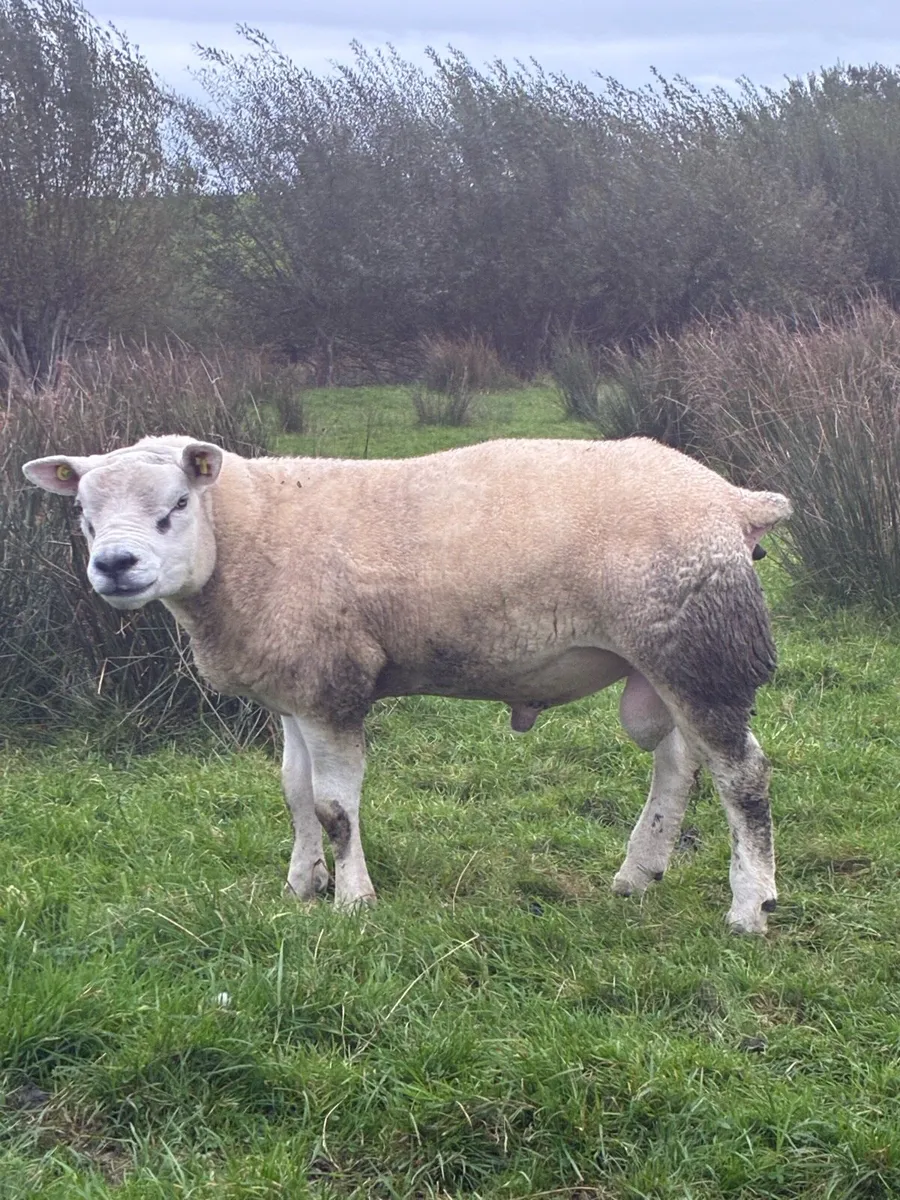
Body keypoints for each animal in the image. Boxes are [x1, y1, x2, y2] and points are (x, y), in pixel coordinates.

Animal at [23, 434, 792, 933]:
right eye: (82, 513)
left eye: (178, 503)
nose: (115, 565)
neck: (251, 533)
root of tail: (735, 500)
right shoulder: (293, 687)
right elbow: (294, 793)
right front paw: (302, 884)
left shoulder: (331, 687)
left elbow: (335, 806)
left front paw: (353, 902)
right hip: (665, 660)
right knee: (679, 763)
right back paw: (639, 874)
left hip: (700, 651)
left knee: (741, 774)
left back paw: (750, 906)